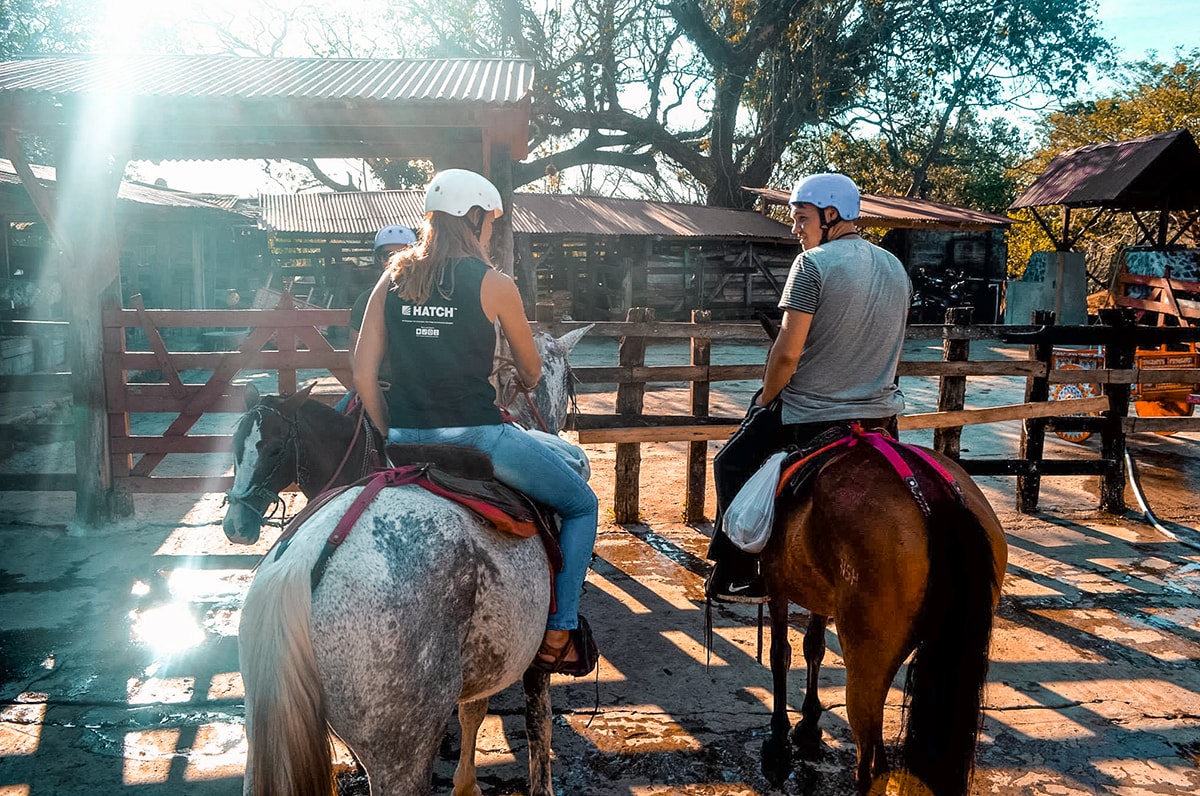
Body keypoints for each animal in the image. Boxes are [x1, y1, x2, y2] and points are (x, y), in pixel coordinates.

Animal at [229, 324, 593, 796]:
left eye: (273, 450)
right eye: (570, 381)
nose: (235, 526)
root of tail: (302, 565)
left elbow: (473, 710)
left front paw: (466, 783)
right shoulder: (532, 656)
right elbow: (538, 729)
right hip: (400, 751)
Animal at [757, 430, 1007, 796]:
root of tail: (935, 498)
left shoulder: (776, 585)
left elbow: (780, 655)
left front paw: (778, 744)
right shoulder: (818, 596)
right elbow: (813, 648)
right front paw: (808, 727)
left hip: (867, 660)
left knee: (870, 763)